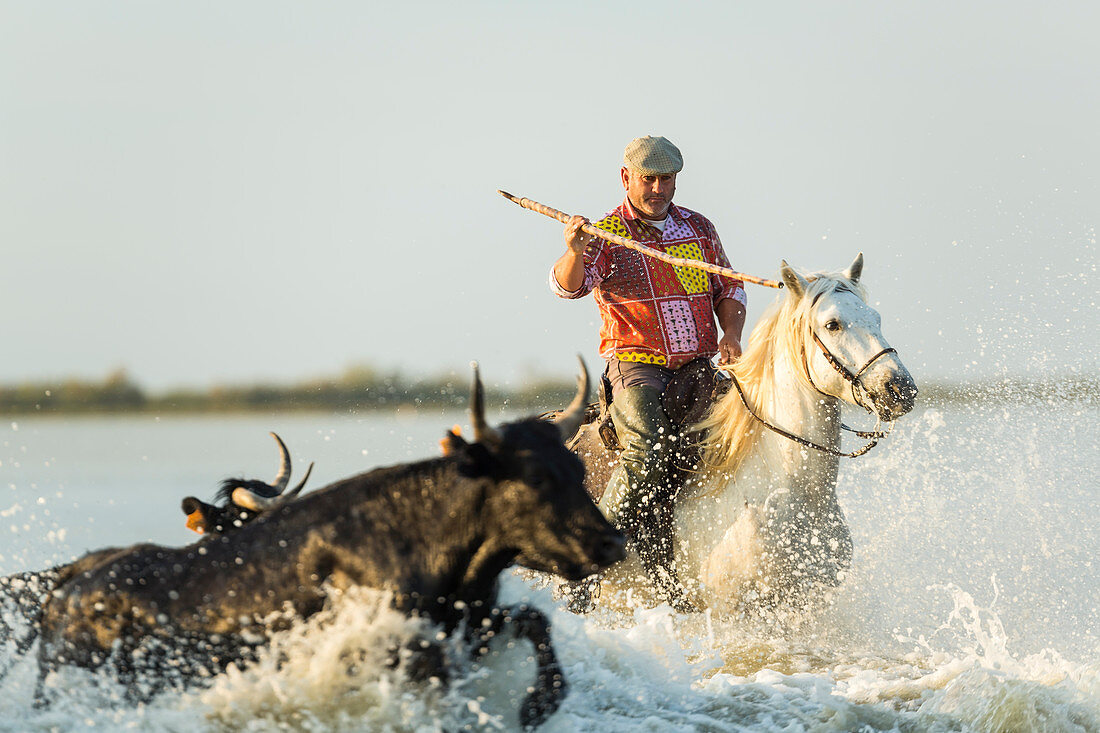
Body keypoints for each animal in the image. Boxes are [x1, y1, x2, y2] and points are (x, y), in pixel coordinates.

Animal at [30, 358, 624, 726]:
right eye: (535, 477)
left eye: (576, 468)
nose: (610, 544)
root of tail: (66, 589)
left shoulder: (474, 623)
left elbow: (535, 621)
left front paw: (537, 705)